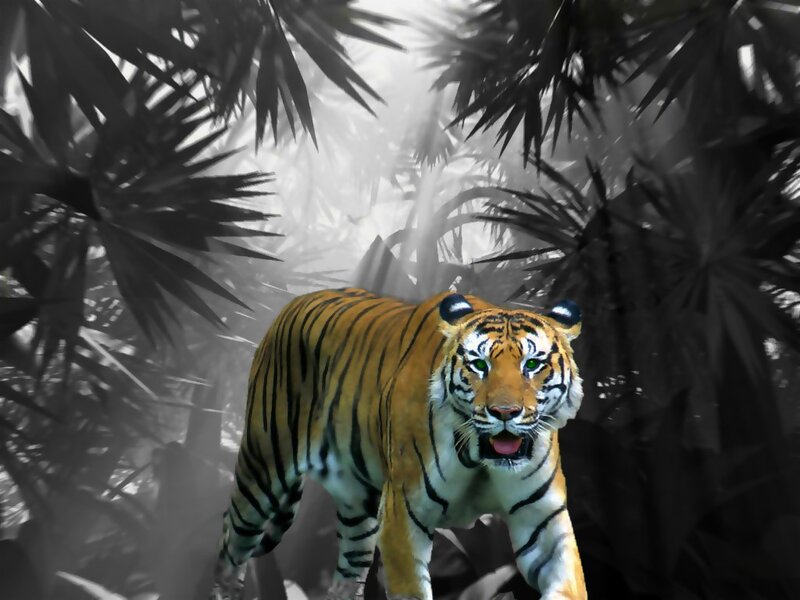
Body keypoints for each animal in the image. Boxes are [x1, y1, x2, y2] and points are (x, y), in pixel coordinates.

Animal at [210, 287, 587, 600]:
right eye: (479, 365)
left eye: (532, 364)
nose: (504, 412)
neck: (480, 459)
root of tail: (295, 300)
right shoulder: (403, 514)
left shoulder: (543, 520)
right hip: (263, 470)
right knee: (231, 542)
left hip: (357, 507)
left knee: (347, 573)